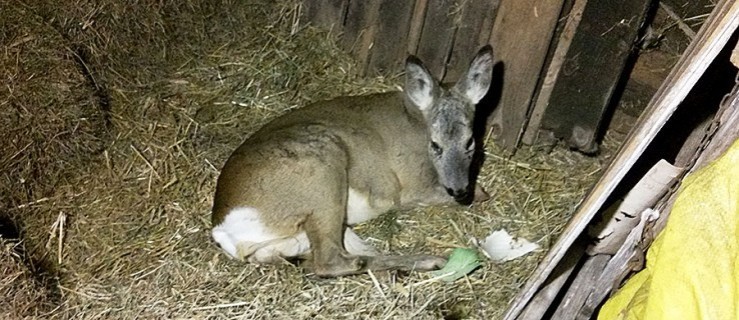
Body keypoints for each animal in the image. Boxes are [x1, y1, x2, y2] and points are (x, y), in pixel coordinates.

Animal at [211, 45, 494, 278]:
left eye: (470, 142)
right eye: (435, 145)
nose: (459, 190)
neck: (417, 124)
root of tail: (223, 230)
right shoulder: (410, 188)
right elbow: (478, 193)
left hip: (306, 230)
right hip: (323, 171)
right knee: (331, 261)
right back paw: (431, 260)